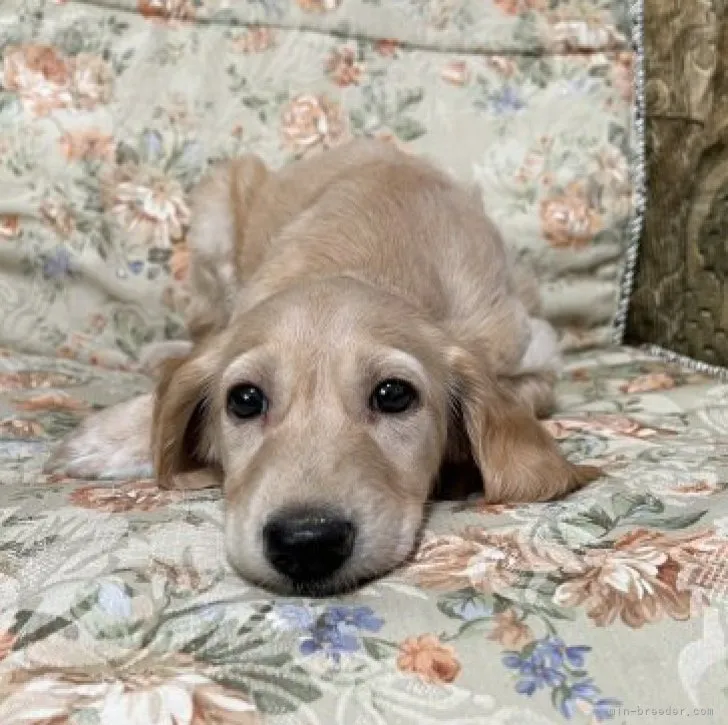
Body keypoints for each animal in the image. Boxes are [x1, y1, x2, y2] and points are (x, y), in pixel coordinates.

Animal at [47, 140, 604, 592]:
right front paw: (113, 436)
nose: (306, 542)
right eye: (244, 400)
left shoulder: (534, 355)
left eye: (394, 395)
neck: (373, 261)